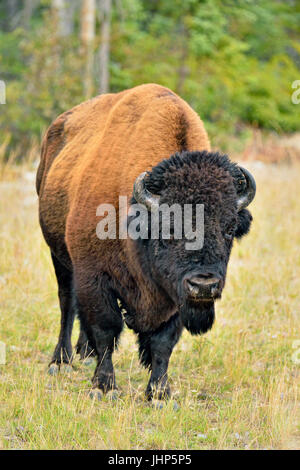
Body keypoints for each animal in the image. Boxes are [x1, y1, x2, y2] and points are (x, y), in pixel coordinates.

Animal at [35, 82, 255, 402]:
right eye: (170, 226)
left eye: (229, 229)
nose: (204, 285)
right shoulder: (95, 276)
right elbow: (105, 328)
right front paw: (104, 387)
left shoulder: (173, 296)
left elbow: (163, 342)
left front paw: (160, 394)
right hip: (59, 256)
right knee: (67, 303)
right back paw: (61, 361)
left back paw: (84, 354)